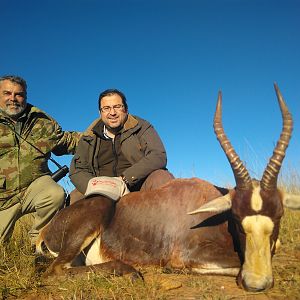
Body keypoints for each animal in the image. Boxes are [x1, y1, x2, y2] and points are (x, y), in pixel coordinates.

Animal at [36, 84, 298, 290]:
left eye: (279, 215)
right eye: (235, 216)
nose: (256, 283)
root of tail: (46, 232)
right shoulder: (189, 256)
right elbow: (236, 263)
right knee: (55, 272)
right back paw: (131, 272)